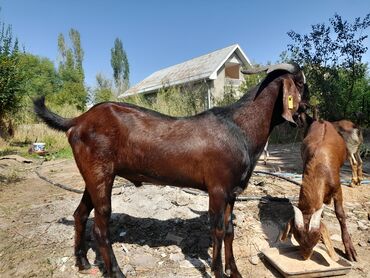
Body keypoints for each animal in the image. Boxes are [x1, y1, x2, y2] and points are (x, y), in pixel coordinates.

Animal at [34, 63, 308, 278]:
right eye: (301, 84)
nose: (307, 113)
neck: (238, 127)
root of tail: (78, 121)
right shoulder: (218, 189)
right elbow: (218, 230)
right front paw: (218, 272)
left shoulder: (233, 192)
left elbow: (230, 231)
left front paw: (235, 271)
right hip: (101, 174)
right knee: (101, 226)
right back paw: (116, 272)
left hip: (93, 176)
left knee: (80, 214)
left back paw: (82, 262)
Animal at [282, 120, 356, 262]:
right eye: (298, 239)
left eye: (315, 241)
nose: (305, 257)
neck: (319, 168)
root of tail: (322, 121)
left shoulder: (337, 188)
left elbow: (340, 214)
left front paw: (349, 248)